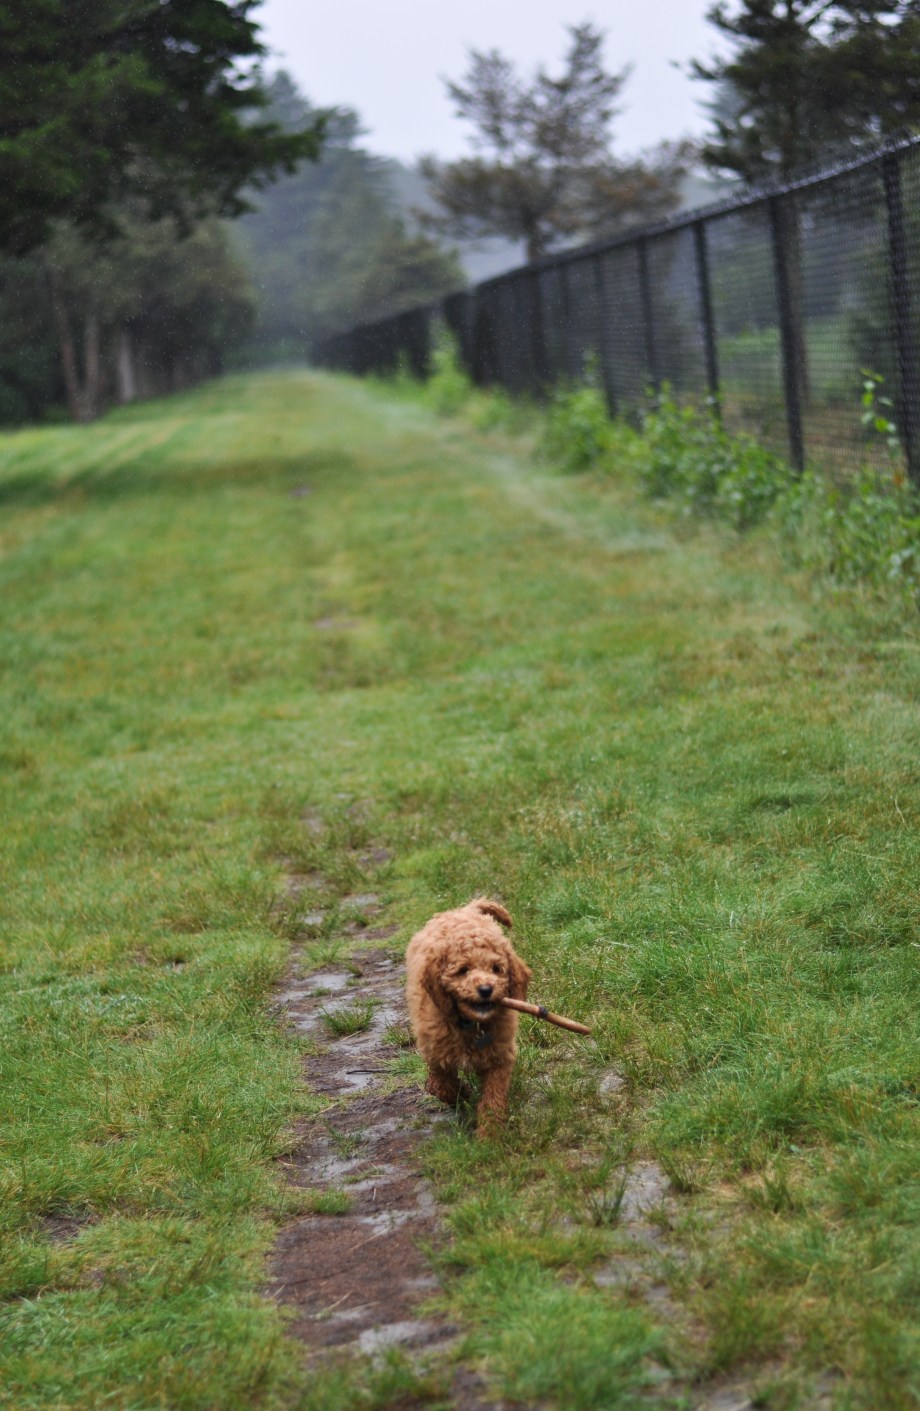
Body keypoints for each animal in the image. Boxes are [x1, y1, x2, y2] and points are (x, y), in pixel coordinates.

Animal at [405, 897, 532, 1137]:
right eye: (463, 970)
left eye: (496, 969)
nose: (486, 989)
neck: (472, 1025)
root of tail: (464, 909)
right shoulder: (435, 1051)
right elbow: (442, 1085)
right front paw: (461, 1093)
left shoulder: (499, 1057)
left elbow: (493, 1098)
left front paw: (490, 1135)